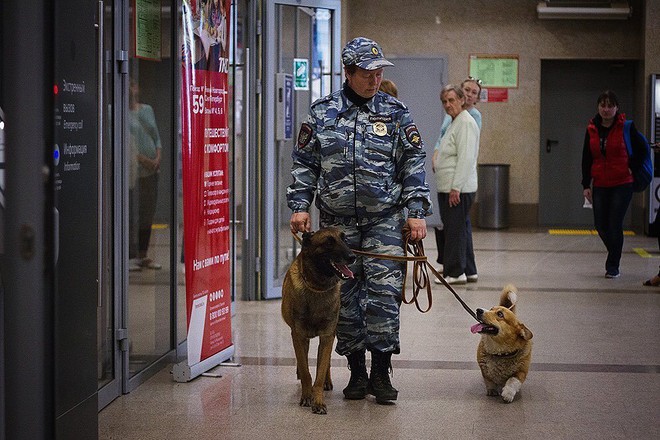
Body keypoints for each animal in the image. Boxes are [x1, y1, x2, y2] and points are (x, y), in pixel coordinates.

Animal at [282, 229, 356, 414]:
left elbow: (320, 372)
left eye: (344, 239)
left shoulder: (327, 336)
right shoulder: (298, 335)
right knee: (303, 360)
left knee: (326, 361)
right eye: (328, 242)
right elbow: (306, 370)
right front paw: (306, 396)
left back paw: (327, 382)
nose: (352, 256)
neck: (317, 287)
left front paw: (318, 401)